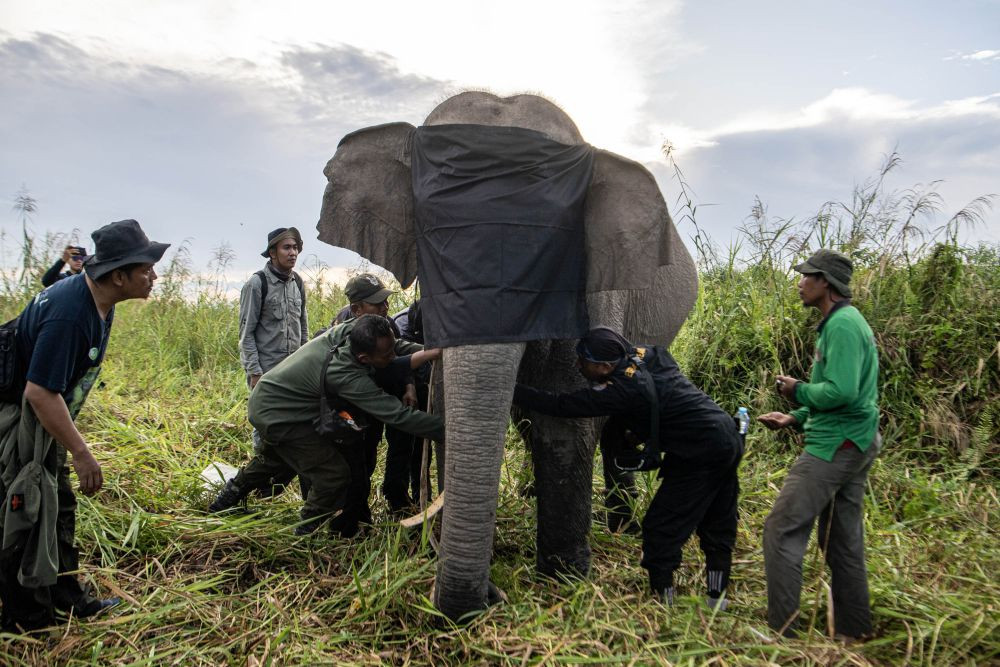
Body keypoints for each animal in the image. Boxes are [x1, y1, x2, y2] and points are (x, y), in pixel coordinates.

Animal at [316, 90, 700, 620]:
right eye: (431, 243)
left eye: (552, 249)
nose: (490, 598)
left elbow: (567, 420)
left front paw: (564, 580)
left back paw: (619, 526)